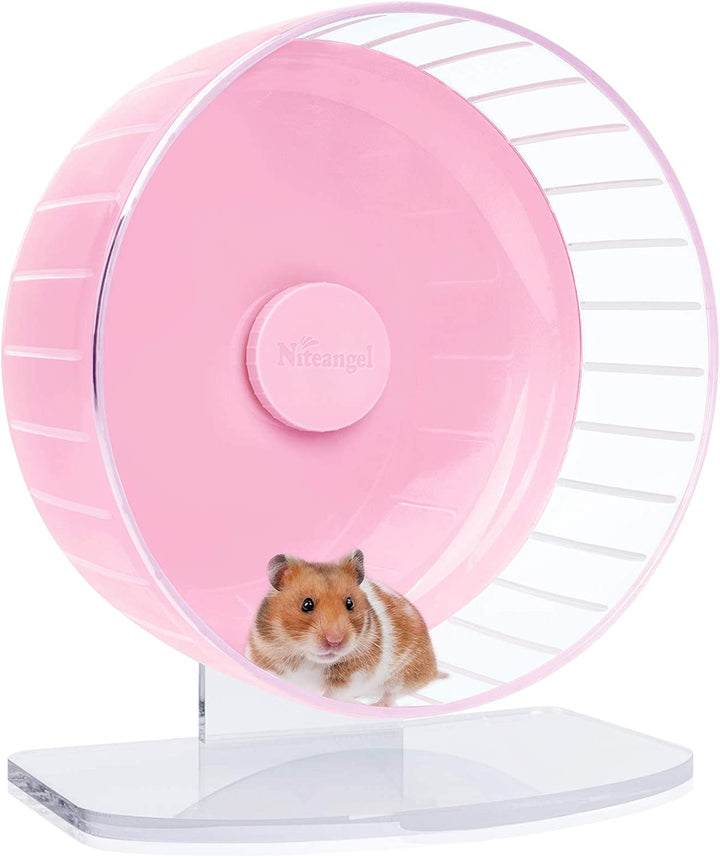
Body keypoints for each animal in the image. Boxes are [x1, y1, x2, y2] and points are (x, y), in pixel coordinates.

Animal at [245, 550, 445, 706]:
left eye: (350, 603)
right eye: (307, 604)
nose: (335, 641)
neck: (309, 660)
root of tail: (433, 669)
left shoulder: (354, 675)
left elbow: (333, 694)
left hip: (405, 671)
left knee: (391, 693)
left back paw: (376, 706)